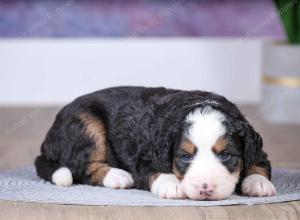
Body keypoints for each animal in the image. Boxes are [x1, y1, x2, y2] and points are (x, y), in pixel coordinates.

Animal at [34, 87, 276, 200]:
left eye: (225, 155)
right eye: (185, 157)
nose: (205, 188)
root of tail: (47, 141)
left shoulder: (257, 148)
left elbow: (259, 163)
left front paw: (258, 183)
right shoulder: (144, 153)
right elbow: (154, 170)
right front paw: (172, 184)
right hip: (87, 123)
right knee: (82, 166)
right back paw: (118, 176)